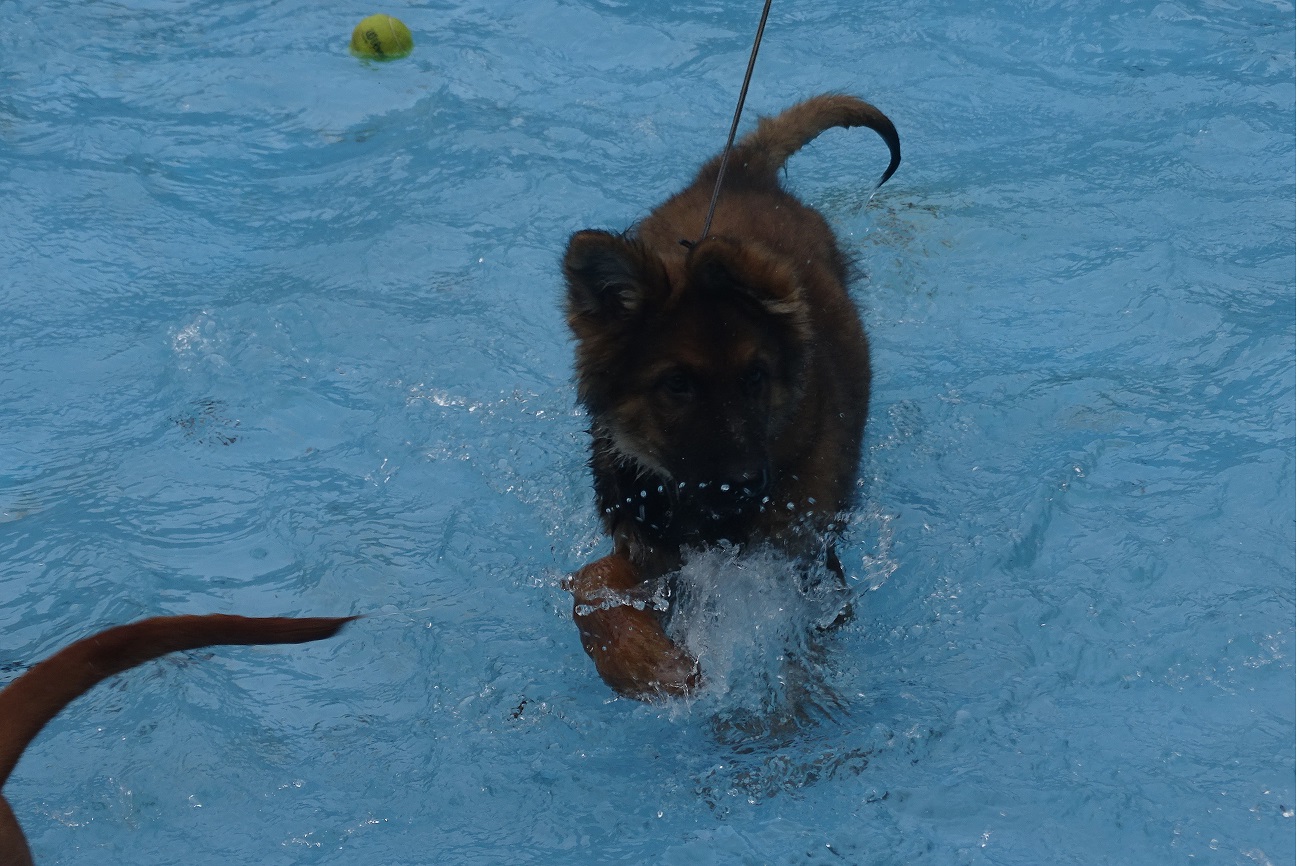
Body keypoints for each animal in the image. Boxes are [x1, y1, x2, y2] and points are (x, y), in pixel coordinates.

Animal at [563, 91, 898, 701]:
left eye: (755, 377)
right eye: (676, 384)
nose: (744, 483)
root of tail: (739, 173)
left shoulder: (803, 569)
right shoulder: (649, 546)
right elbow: (592, 587)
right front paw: (644, 662)